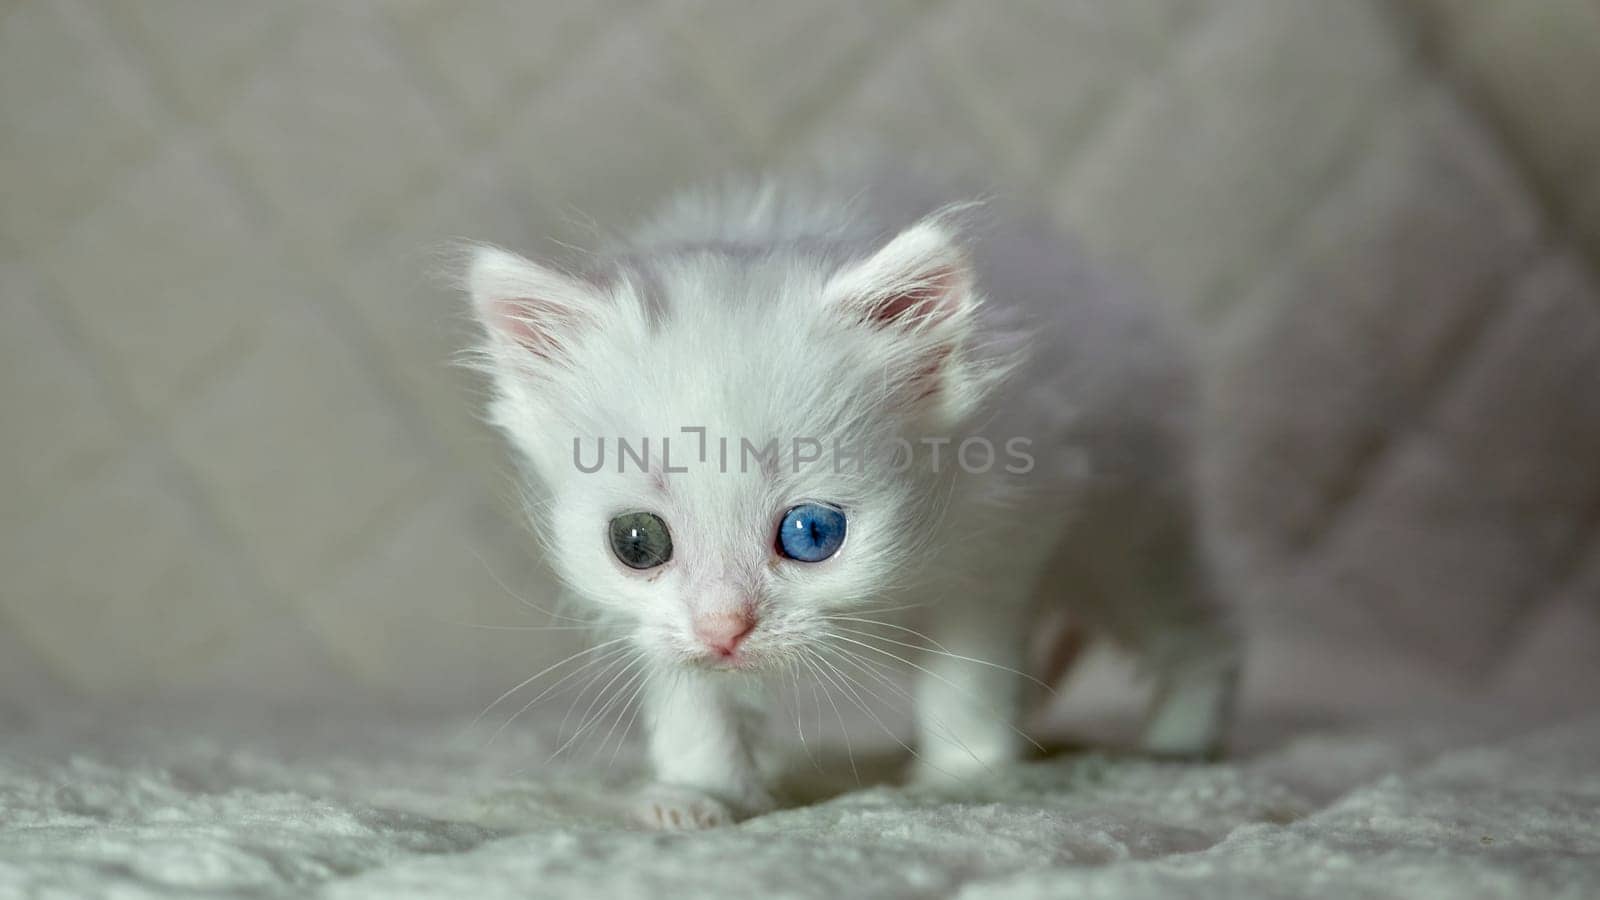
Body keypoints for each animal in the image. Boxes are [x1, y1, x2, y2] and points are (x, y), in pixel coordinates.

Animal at [464, 171, 1235, 826]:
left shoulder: (997, 542)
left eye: (811, 534)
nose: (725, 630)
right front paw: (700, 793)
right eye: (636, 542)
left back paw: (1182, 742)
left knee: (1195, 623)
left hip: (1124, 526)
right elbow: (693, 697)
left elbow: (969, 678)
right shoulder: (659, 623)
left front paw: (961, 778)